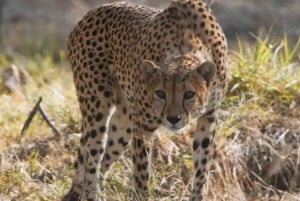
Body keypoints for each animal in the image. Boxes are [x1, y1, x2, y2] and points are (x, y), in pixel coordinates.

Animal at [63, 0, 227, 200]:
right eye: (160, 93)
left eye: (189, 94)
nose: (173, 119)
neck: (189, 43)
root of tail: (91, 12)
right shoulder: (143, 126)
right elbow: (141, 173)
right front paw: (141, 195)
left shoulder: (209, 118)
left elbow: (202, 168)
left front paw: (198, 195)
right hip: (97, 108)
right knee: (92, 160)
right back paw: (93, 194)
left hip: (124, 124)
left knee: (102, 160)